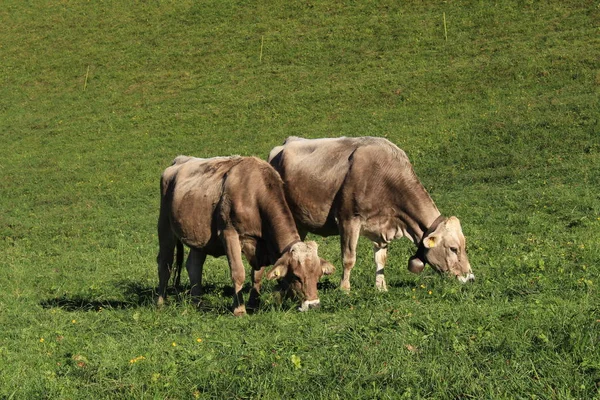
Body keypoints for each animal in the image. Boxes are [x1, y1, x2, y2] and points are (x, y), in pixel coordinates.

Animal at [157, 155, 336, 314]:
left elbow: (257, 275)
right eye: (297, 277)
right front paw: (239, 309)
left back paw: (198, 303)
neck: (254, 194)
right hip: (165, 225)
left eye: (318, 275)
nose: (314, 305)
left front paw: (253, 304)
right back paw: (161, 302)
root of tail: (179, 161)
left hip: (199, 237)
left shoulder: (262, 245)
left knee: (194, 266)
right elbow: (238, 272)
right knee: (165, 263)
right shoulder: (229, 234)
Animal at [270, 137, 476, 290]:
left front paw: (381, 287)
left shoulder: (383, 226)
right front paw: (344, 289)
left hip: (301, 222)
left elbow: (381, 259)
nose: (470, 278)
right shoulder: (348, 219)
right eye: (453, 248)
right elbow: (349, 258)